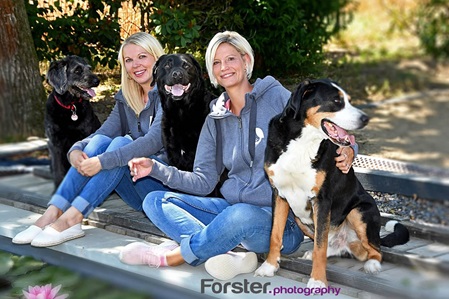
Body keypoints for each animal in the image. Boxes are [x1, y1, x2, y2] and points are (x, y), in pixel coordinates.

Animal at [45, 55, 100, 189]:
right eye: (77, 70)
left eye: (89, 68)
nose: (97, 81)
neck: (70, 106)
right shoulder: (55, 144)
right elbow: (58, 172)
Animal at [254, 79, 408, 288]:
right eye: (336, 100)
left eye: (349, 100)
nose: (366, 119)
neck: (303, 143)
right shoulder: (279, 194)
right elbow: (275, 235)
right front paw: (269, 266)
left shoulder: (322, 199)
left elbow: (320, 245)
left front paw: (318, 280)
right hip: (300, 218)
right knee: (330, 244)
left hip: (359, 211)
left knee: (374, 249)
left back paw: (372, 264)